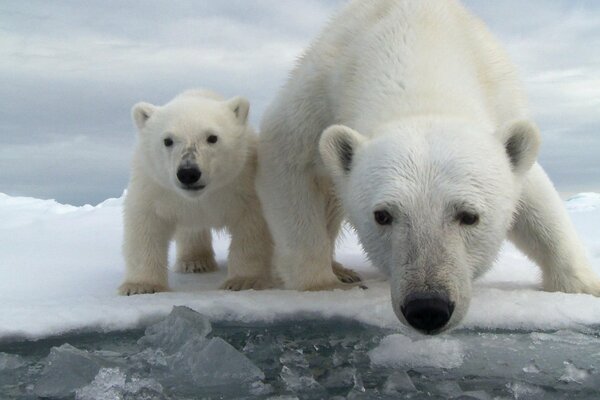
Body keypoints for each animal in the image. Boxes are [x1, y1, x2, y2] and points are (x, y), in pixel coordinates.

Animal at [258, 0, 600, 334]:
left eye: (469, 215)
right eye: (382, 215)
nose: (427, 308)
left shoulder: (500, 102)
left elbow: (537, 200)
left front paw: (585, 286)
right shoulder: (319, 92)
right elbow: (288, 161)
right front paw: (322, 284)